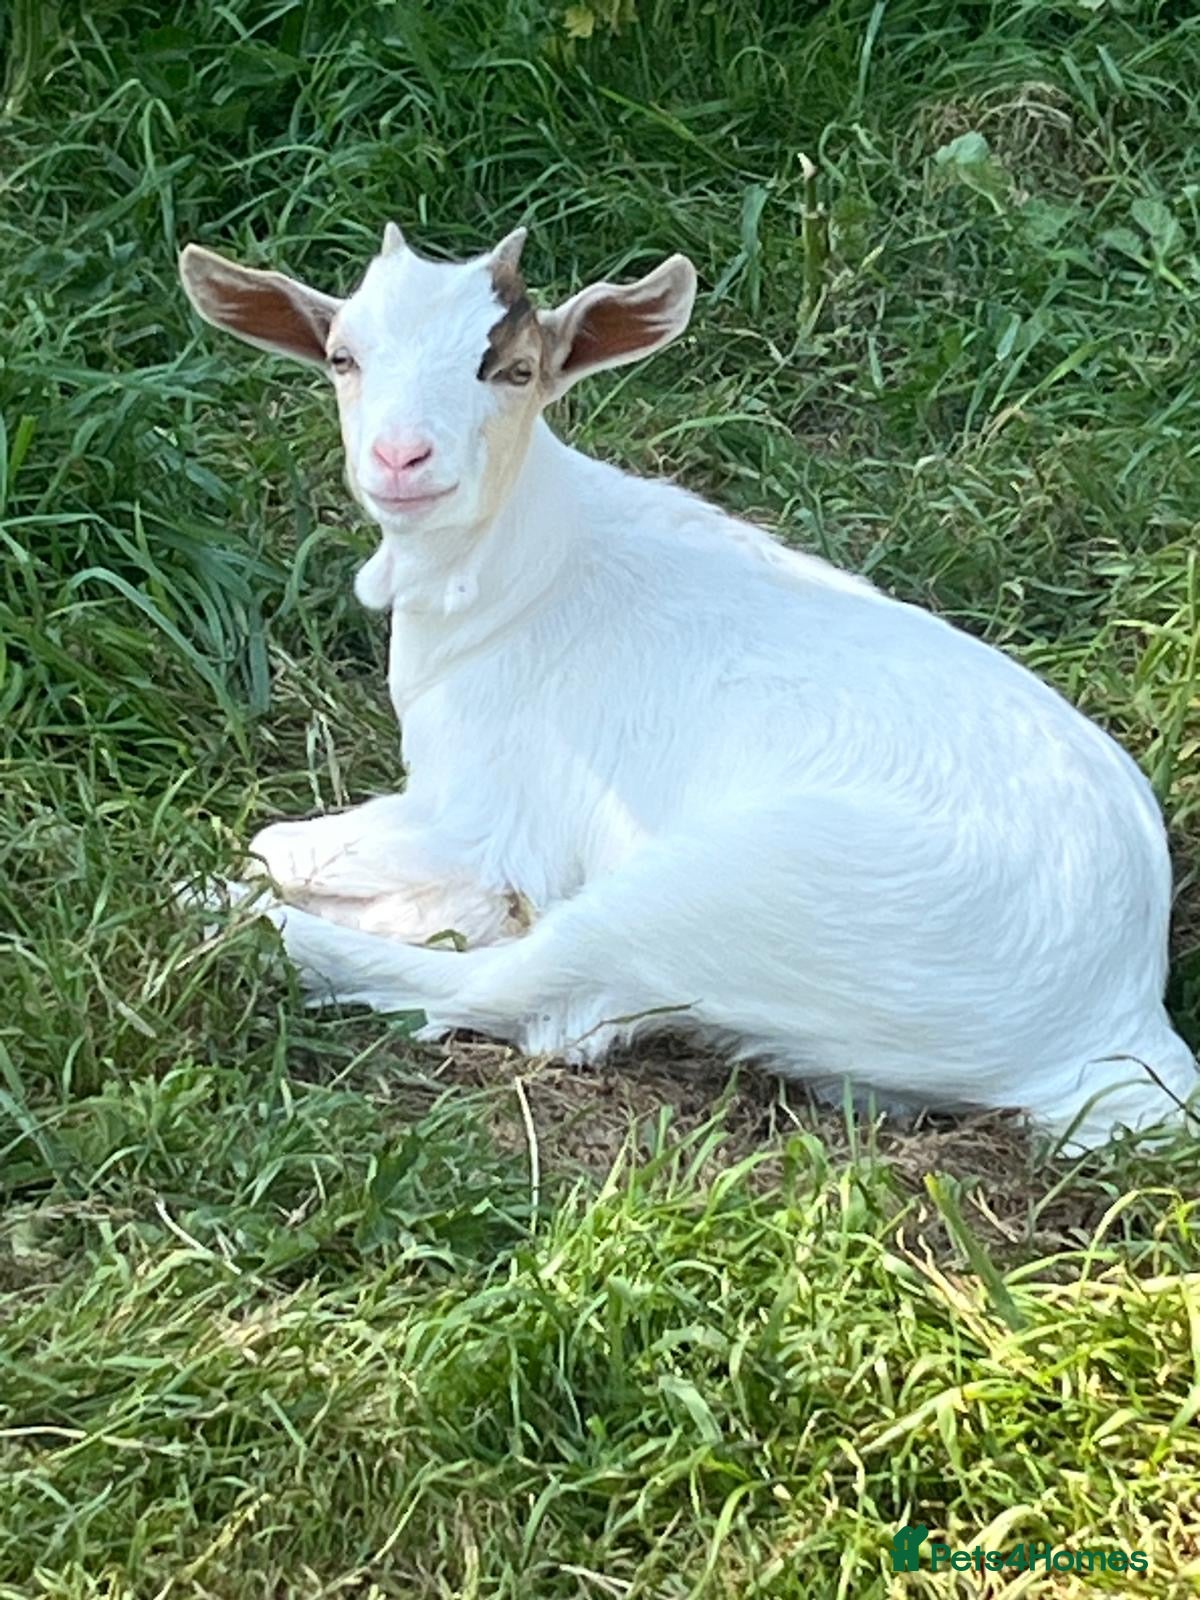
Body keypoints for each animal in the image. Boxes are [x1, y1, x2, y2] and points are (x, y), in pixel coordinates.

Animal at [179, 221, 1197, 1150]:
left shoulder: (486, 813)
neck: (525, 576)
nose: (401, 458)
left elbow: (284, 843)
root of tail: (1116, 1019)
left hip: (726, 895)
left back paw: (229, 915)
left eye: (513, 370)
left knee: (518, 992)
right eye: (343, 357)